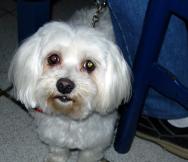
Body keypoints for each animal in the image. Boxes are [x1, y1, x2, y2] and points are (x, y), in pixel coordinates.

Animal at [8, 7, 131, 162]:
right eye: (53, 58)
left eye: (89, 65)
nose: (64, 85)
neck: (69, 119)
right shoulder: (55, 136)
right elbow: (58, 151)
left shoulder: (96, 143)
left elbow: (88, 155)